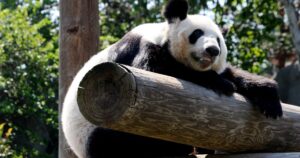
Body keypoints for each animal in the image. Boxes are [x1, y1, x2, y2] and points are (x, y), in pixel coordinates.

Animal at [61, 0, 284, 157]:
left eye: (219, 40)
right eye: (197, 33)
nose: (213, 50)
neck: (162, 35)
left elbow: (232, 73)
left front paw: (268, 95)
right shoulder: (142, 48)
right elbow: (155, 73)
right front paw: (221, 83)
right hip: (101, 131)